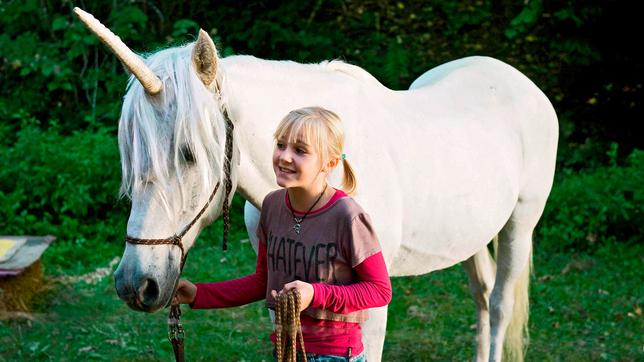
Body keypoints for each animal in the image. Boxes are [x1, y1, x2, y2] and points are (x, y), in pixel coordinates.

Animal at [74, 6, 560, 362]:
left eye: (189, 154)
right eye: (131, 158)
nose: (135, 285)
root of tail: (517, 80)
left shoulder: (371, 304)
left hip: (521, 223)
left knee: (500, 304)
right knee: (482, 295)